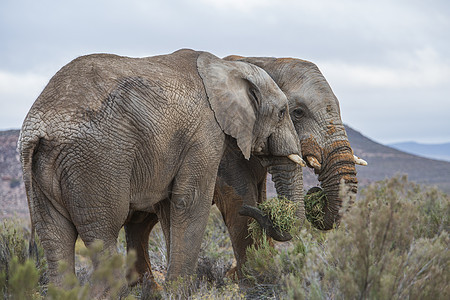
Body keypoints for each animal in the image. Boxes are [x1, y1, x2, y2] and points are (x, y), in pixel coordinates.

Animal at [18, 48, 306, 288]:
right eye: (283, 112)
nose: (254, 209)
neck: (225, 67)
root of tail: (39, 127)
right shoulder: (204, 134)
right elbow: (190, 203)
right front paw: (181, 291)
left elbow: (170, 210)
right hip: (95, 161)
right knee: (102, 232)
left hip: (41, 170)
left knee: (55, 237)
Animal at [125, 54, 368, 286]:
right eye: (298, 112)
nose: (315, 194)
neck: (260, 62)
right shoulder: (223, 152)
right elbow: (239, 200)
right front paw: (256, 280)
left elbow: (258, 199)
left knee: (138, 225)